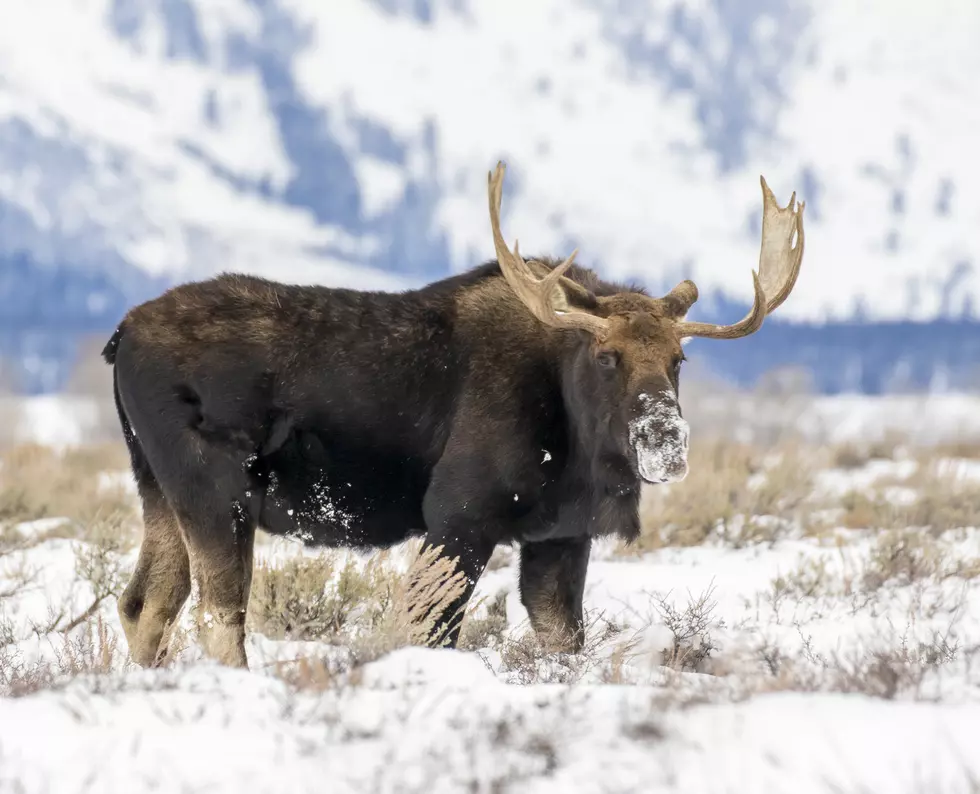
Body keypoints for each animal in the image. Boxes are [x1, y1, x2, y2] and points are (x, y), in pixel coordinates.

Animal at [105, 159, 804, 664]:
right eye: (607, 356)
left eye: (678, 359)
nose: (665, 439)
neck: (573, 432)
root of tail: (120, 336)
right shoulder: (457, 516)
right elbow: (430, 631)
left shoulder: (560, 534)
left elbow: (564, 640)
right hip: (216, 489)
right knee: (218, 617)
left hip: (158, 488)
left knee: (146, 604)